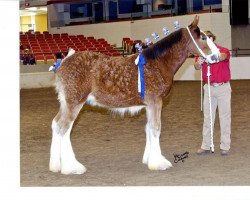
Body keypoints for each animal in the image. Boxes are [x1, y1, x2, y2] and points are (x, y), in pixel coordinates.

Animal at [49, 15, 209, 174]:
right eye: (203, 37)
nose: (215, 56)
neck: (158, 63)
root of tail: (64, 62)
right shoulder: (155, 102)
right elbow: (156, 128)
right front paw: (158, 163)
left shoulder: (149, 105)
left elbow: (149, 128)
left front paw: (149, 159)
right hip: (75, 102)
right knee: (64, 128)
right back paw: (71, 167)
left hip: (66, 103)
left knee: (57, 124)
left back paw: (56, 165)